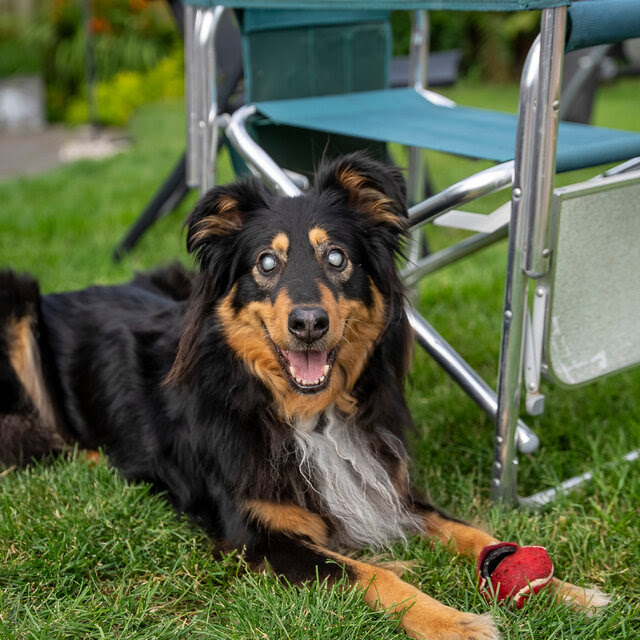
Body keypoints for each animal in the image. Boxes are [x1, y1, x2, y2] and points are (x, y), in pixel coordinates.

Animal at [0, 154, 608, 636]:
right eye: (266, 264)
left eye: (336, 257)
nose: (309, 324)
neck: (307, 414)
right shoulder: (256, 533)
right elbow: (372, 572)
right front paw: (454, 621)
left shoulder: (385, 485)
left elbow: (473, 532)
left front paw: (567, 591)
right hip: (16, 305)